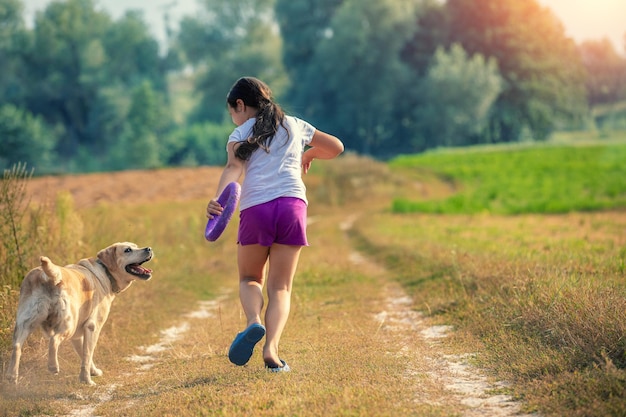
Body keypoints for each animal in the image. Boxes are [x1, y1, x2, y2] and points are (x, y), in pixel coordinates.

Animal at [7, 242, 152, 386]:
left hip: (25, 324)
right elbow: (87, 355)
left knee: (17, 347)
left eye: (136, 246)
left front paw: (94, 372)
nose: (148, 248)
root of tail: (48, 276)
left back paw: (12, 378)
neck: (105, 272)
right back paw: (53, 367)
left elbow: (83, 354)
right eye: (128, 250)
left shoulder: (77, 336)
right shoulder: (92, 327)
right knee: (54, 340)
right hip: (68, 324)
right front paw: (87, 380)